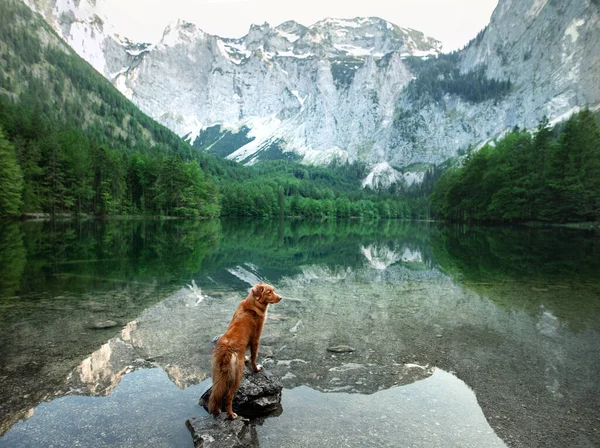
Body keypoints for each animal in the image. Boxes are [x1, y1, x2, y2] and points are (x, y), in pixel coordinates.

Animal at [207, 282, 282, 418]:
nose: (281, 297)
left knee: (215, 395)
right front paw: (256, 368)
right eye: (269, 292)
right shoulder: (256, 339)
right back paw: (231, 415)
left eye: (273, 290)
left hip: (217, 375)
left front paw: (247, 358)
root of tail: (226, 351)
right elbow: (254, 357)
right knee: (228, 396)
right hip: (237, 375)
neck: (252, 305)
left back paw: (216, 411)